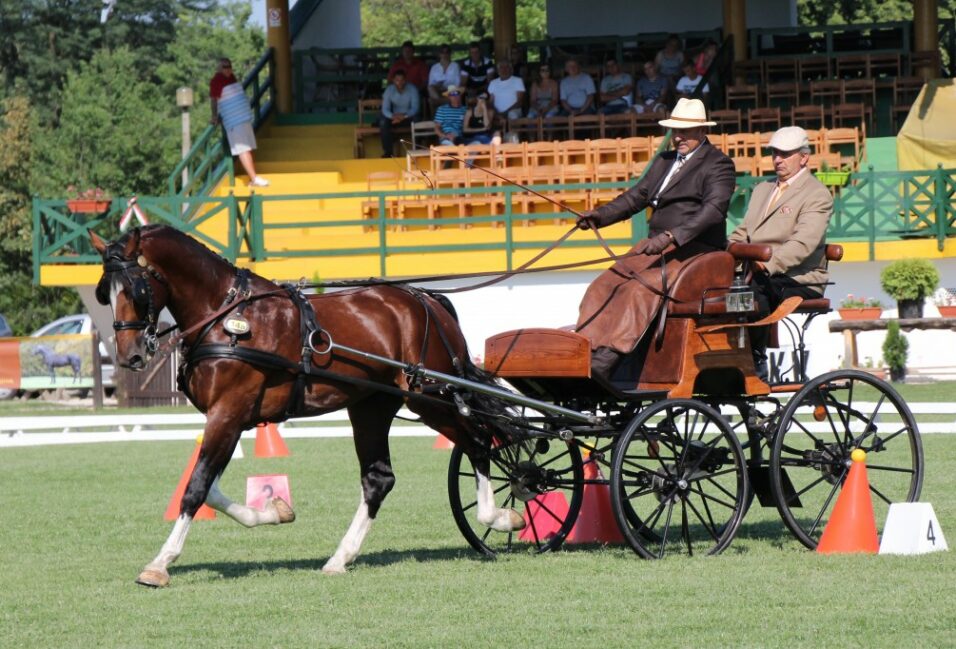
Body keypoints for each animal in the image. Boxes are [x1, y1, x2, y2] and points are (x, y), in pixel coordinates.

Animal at [89, 225, 524, 584]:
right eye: (104, 291)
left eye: (136, 288)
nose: (129, 356)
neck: (227, 315)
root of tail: (427, 300)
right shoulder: (232, 418)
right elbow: (210, 487)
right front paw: (274, 510)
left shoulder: (228, 412)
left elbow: (196, 488)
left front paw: (160, 564)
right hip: (372, 406)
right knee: (380, 478)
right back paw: (340, 558)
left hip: (431, 398)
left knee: (479, 442)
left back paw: (499, 516)